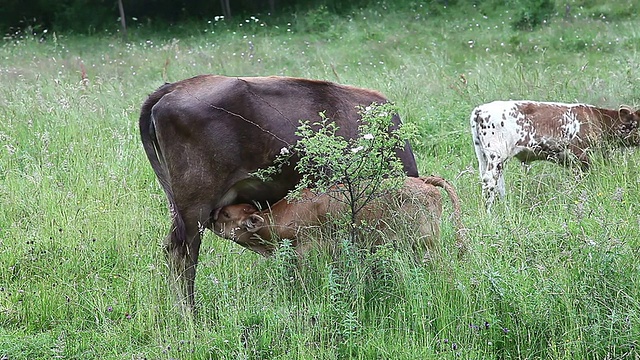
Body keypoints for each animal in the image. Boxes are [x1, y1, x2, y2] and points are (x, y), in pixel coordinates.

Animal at [470, 100, 640, 210]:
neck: (597, 119)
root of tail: (480, 110)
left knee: (497, 182)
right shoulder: (581, 157)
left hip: (484, 157)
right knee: (490, 181)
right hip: (496, 155)